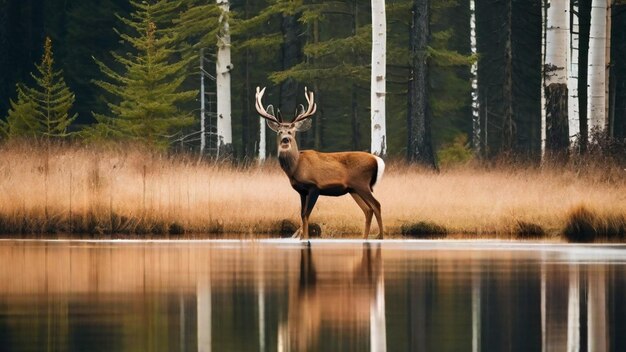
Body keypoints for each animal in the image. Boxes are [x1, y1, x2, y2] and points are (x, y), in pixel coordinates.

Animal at [255, 86, 382, 239]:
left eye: (292, 131)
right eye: (279, 131)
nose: (286, 139)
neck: (296, 167)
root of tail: (377, 160)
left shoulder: (314, 186)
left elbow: (306, 215)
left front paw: (305, 237)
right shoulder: (302, 191)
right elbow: (302, 215)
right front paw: (302, 237)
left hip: (362, 184)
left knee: (376, 205)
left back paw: (380, 236)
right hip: (354, 189)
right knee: (368, 210)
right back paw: (365, 237)